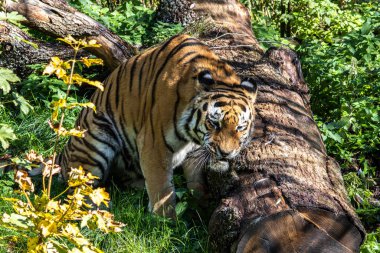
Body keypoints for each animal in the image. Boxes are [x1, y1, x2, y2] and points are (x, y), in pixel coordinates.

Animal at [58, 34, 258, 217]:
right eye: (214, 123)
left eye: (240, 127)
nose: (226, 153)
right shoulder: (154, 144)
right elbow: (161, 189)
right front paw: (166, 222)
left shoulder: (195, 150)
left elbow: (196, 183)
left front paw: (201, 207)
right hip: (95, 138)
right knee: (77, 189)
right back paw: (99, 208)